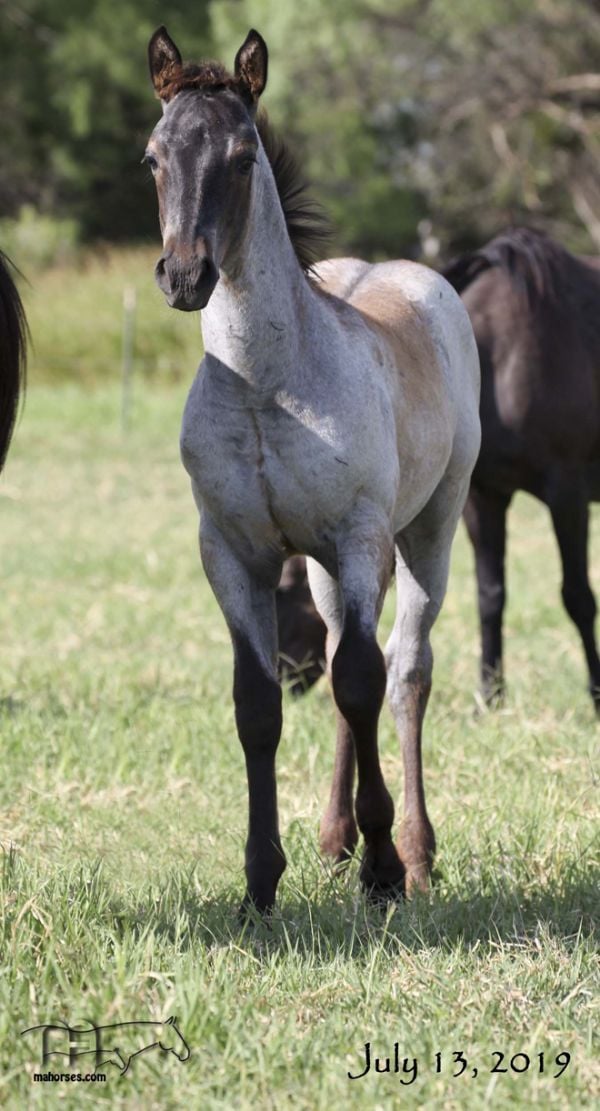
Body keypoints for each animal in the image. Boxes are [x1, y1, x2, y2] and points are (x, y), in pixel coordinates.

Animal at [147, 28, 480, 911]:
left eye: (240, 155)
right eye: (153, 157)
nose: (184, 275)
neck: (268, 390)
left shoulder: (361, 537)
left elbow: (364, 679)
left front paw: (384, 870)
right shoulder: (233, 554)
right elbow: (260, 702)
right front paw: (262, 878)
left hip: (430, 530)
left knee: (405, 671)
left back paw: (415, 850)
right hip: (329, 568)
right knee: (339, 662)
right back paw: (335, 837)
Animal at [278, 226, 600, 715]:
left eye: (282, 592)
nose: (281, 679)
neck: (505, 355)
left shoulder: (567, 494)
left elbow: (578, 597)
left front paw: (597, 695)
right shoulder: (483, 496)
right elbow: (491, 595)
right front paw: (490, 696)